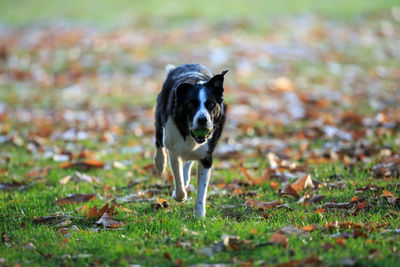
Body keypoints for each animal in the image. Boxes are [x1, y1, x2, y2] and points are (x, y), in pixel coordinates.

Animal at [154, 64, 228, 218]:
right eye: (191, 104)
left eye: (211, 104)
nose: (202, 119)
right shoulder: (173, 149)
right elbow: (178, 178)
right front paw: (179, 196)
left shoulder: (206, 156)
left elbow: (202, 189)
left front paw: (199, 215)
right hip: (160, 115)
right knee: (159, 141)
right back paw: (160, 163)